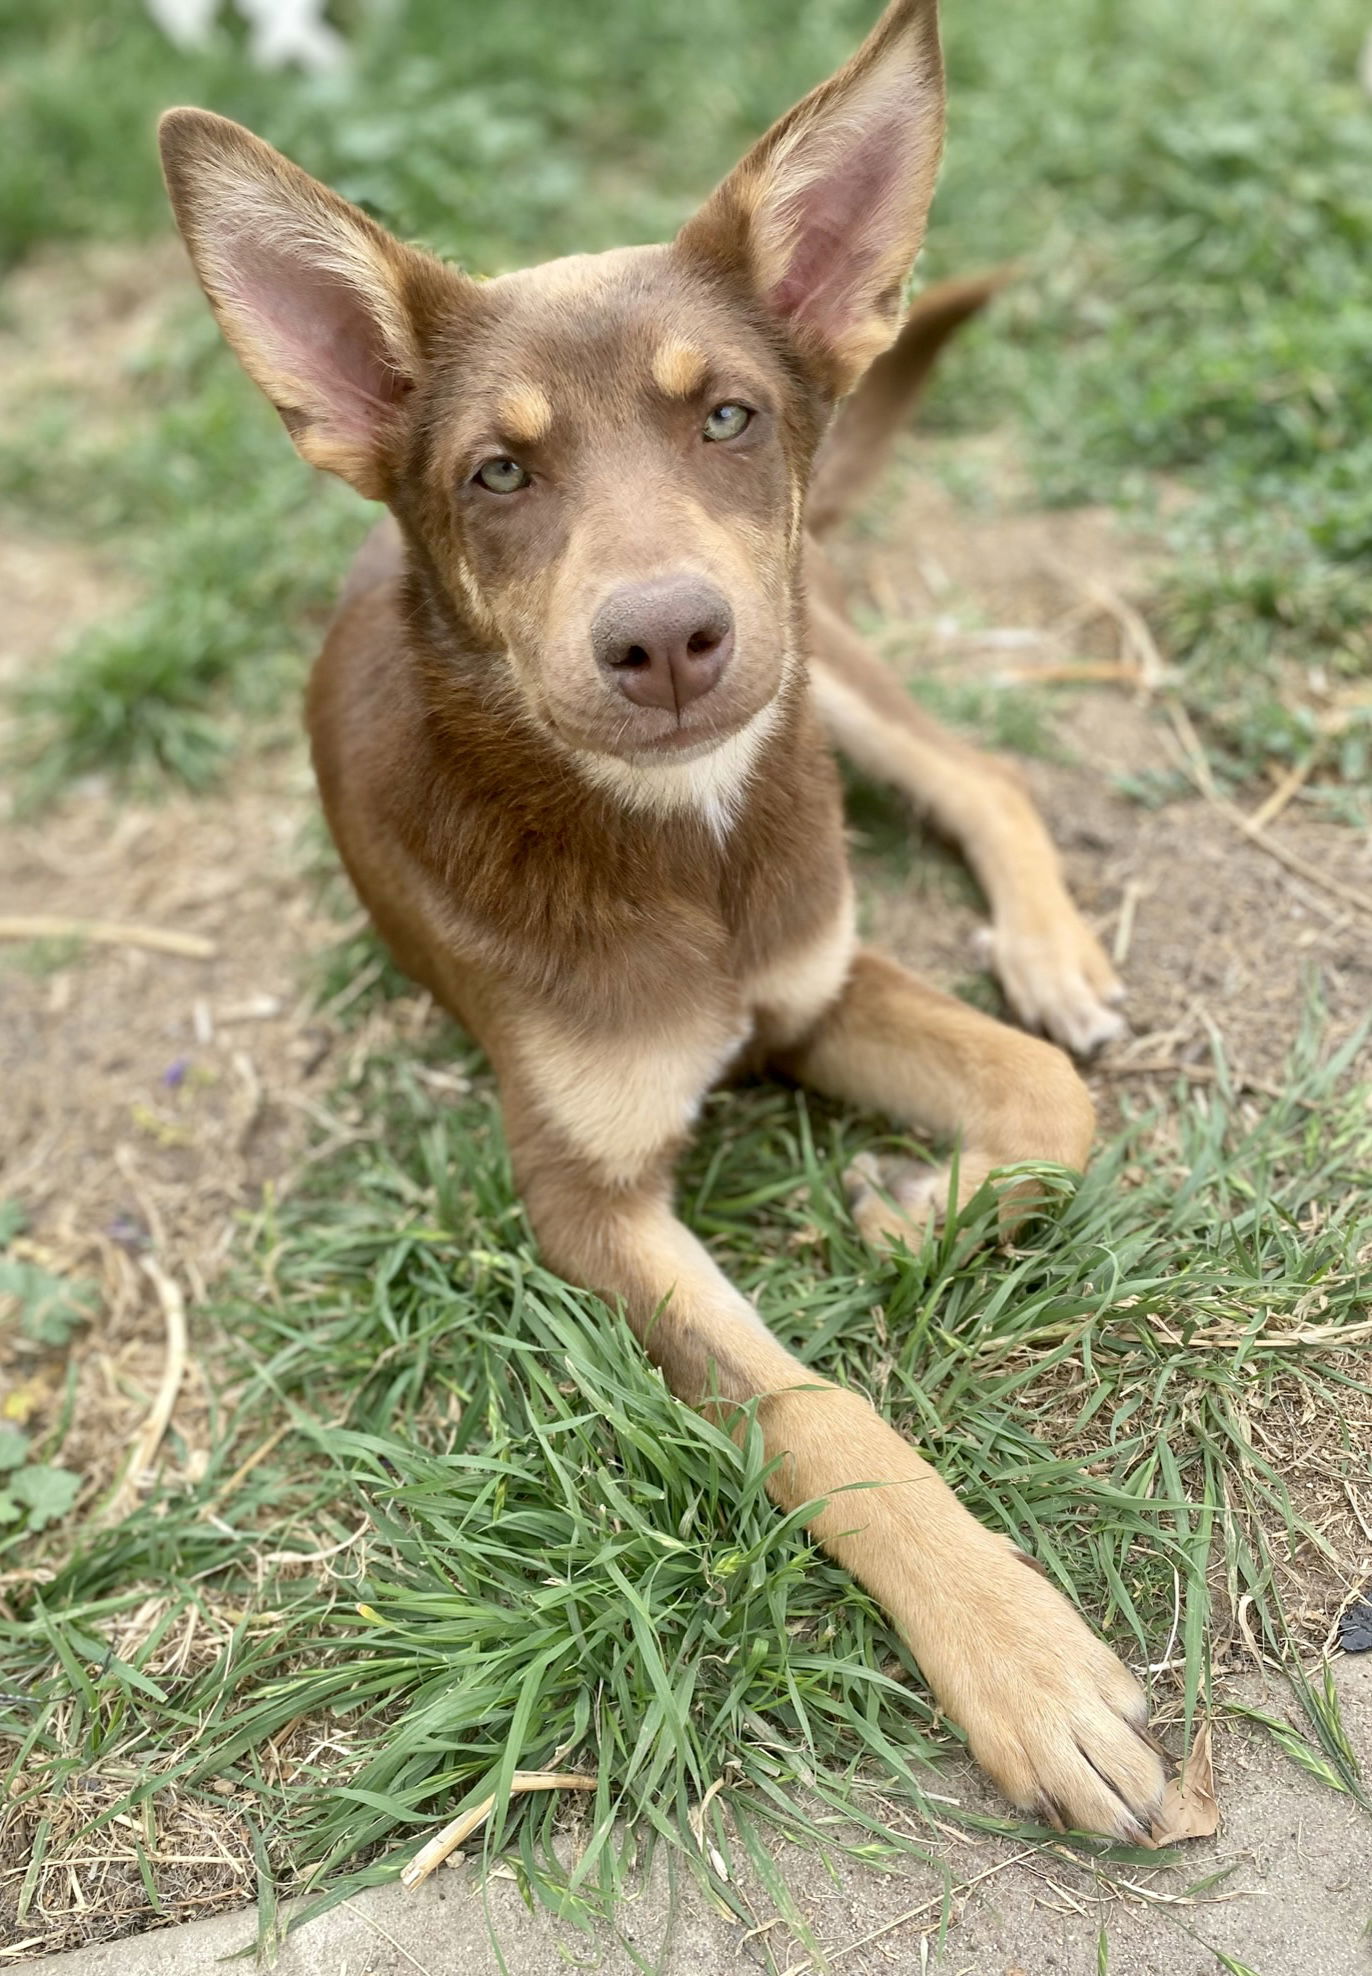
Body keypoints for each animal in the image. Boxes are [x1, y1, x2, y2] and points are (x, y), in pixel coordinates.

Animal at [158, 0, 1170, 1833]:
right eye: (496, 470)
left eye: (728, 419)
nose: (667, 641)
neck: (677, 854)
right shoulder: (585, 1198)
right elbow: (818, 1413)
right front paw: (1022, 1662)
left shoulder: (811, 981)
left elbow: (1042, 1095)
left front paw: (909, 1214)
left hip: (820, 666)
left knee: (977, 771)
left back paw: (1051, 952)